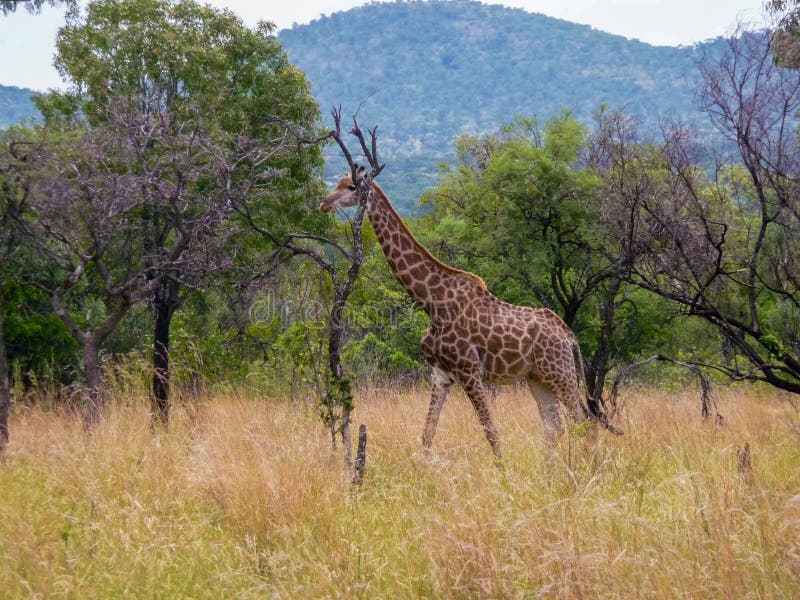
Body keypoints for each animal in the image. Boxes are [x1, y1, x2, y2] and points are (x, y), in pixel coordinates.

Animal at [322, 166, 596, 458]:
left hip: (560, 374)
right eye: (338, 182)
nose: (324, 204)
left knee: (584, 422)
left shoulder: (469, 371)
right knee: (556, 426)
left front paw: (502, 471)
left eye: (351, 186)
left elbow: (491, 432)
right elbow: (427, 434)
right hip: (538, 378)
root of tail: (570, 337)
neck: (433, 303)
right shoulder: (440, 374)